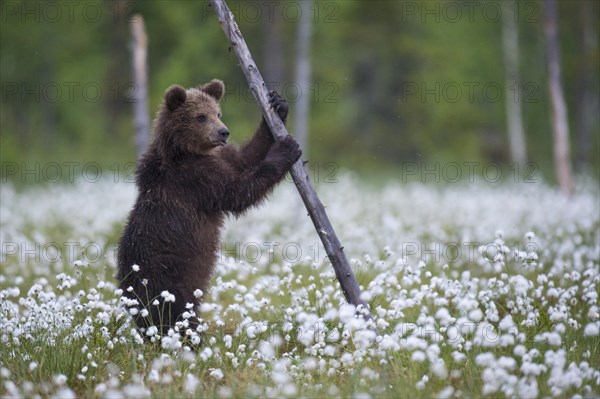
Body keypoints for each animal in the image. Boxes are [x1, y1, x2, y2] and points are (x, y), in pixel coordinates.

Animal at [118, 79, 302, 336]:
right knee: (176, 315)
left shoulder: (219, 158)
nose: (223, 131)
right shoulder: (195, 181)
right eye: (201, 116)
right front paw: (285, 149)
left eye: (218, 113)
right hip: (168, 277)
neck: (185, 151)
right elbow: (237, 192)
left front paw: (278, 106)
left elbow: (245, 157)